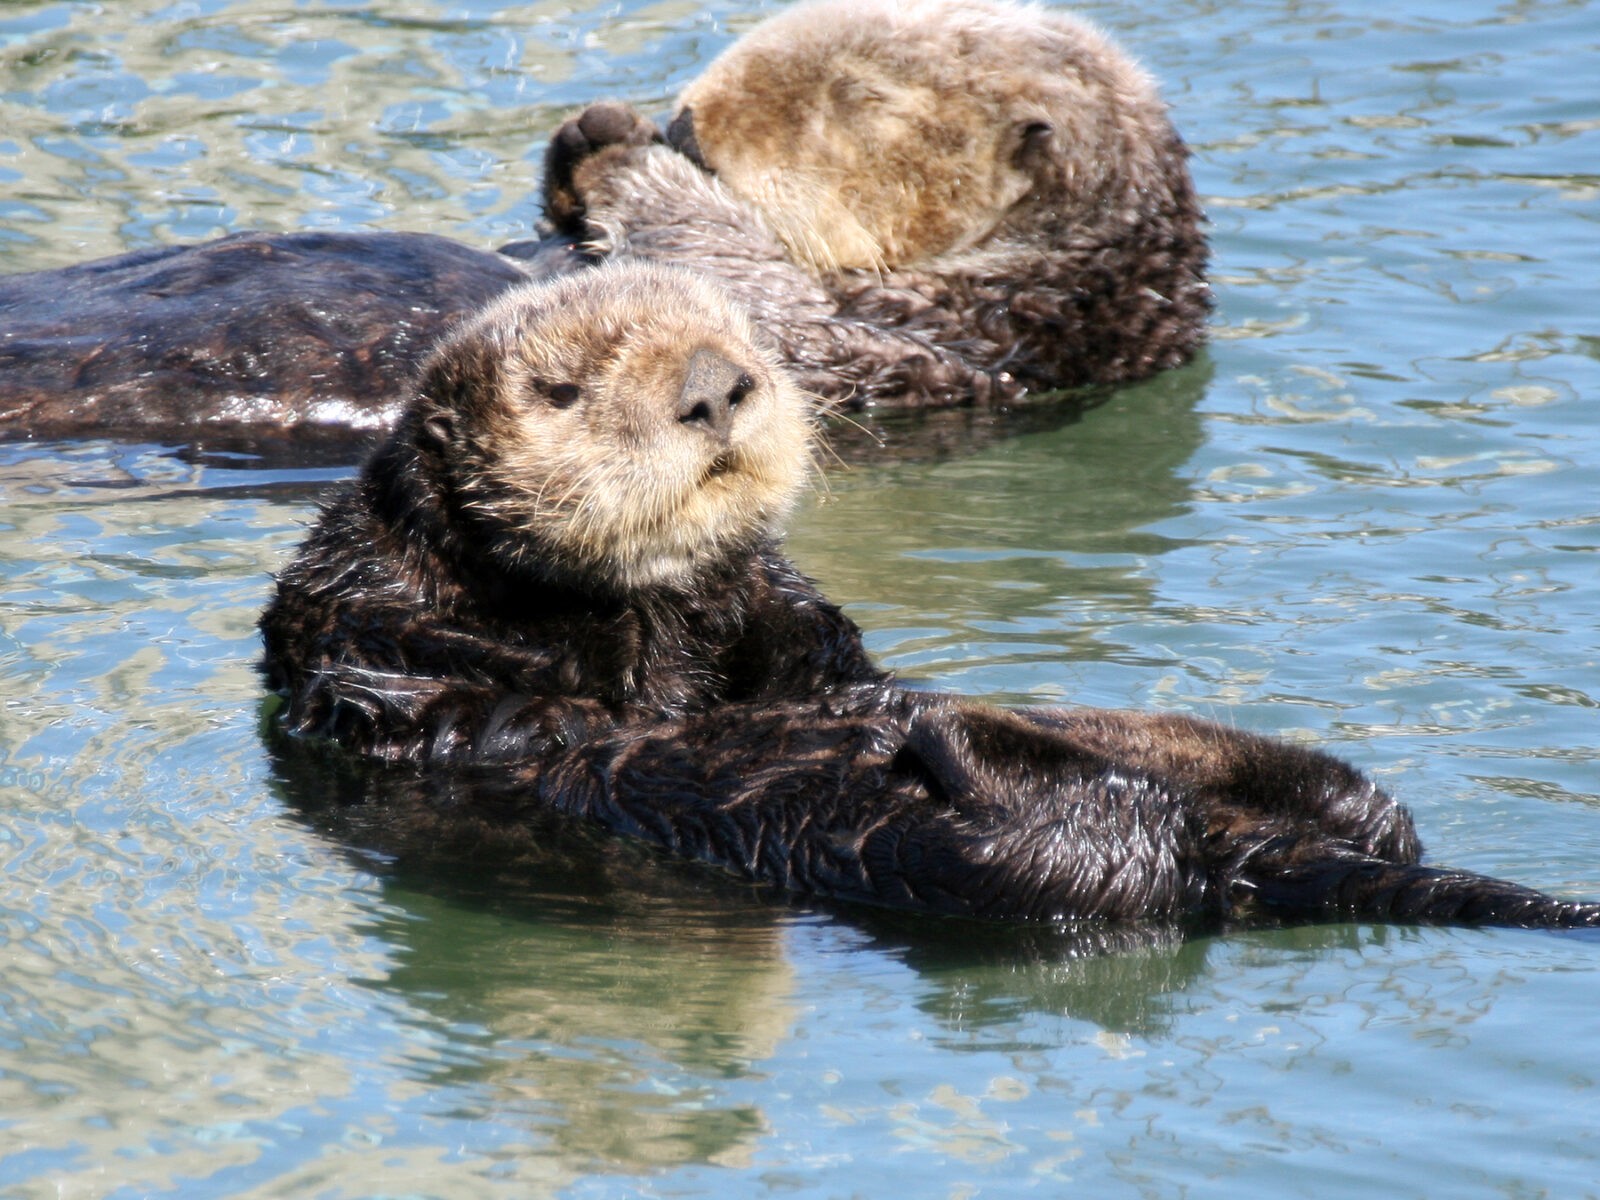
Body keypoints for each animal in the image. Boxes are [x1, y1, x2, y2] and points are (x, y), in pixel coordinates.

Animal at [0, 0, 1203, 444]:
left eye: (852, 96)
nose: (689, 121)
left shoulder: (950, 345)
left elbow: (744, 297)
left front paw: (623, 154)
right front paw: (585, 142)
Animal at [265, 262, 1600, 934]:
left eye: (739, 330)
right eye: (557, 389)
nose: (715, 385)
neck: (650, 627)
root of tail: (1249, 862)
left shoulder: (767, 623)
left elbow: (817, 653)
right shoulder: (369, 622)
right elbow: (464, 698)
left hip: (1295, 814)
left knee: (1351, 805)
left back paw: (1092, 727)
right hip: (1005, 866)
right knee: (1086, 838)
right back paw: (983, 735)